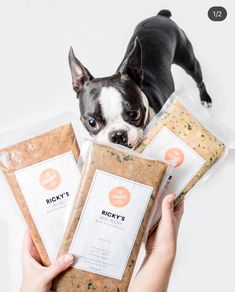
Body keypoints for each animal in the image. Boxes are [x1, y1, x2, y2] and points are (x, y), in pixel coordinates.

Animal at [68, 9, 211, 148]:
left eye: (134, 114)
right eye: (92, 122)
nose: (118, 135)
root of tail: (160, 16)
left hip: (188, 61)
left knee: (199, 80)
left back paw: (205, 99)